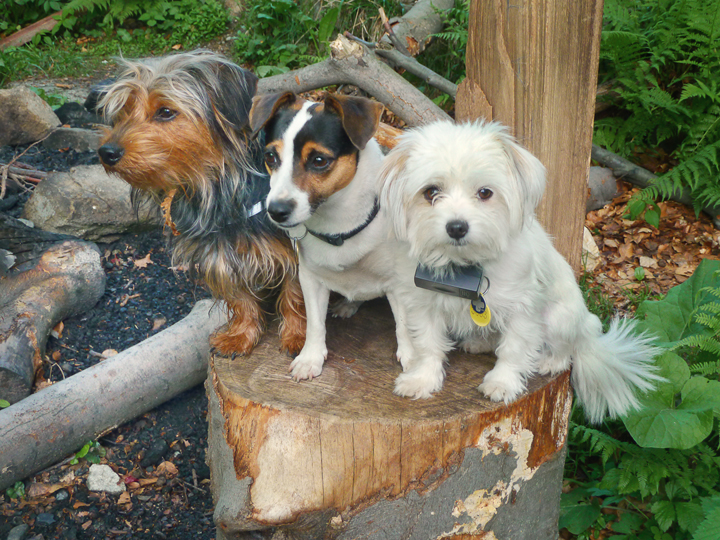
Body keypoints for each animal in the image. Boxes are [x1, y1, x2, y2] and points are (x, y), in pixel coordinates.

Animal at [96, 50, 305, 357]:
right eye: (124, 110)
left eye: (166, 112)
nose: (107, 152)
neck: (215, 187)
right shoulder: (218, 254)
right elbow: (240, 297)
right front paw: (240, 336)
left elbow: (296, 293)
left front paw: (299, 337)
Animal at [249, 91, 412, 380]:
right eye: (270, 157)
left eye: (319, 160)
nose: (276, 210)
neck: (339, 227)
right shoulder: (310, 278)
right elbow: (315, 323)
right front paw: (310, 358)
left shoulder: (399, 281)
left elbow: (403, 325)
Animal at [379, 120, 661, 423]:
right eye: (430, 192)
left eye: (485, 192)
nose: (456, 227)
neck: (465, 266)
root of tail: (586, 331)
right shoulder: (423, 306)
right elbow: (427, 345)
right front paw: (422, 379)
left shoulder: (523, 309)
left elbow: (513, 350)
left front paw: (502, 382)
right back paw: (479, 341)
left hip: (560, 320)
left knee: (566, 349)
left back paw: (549, 360)